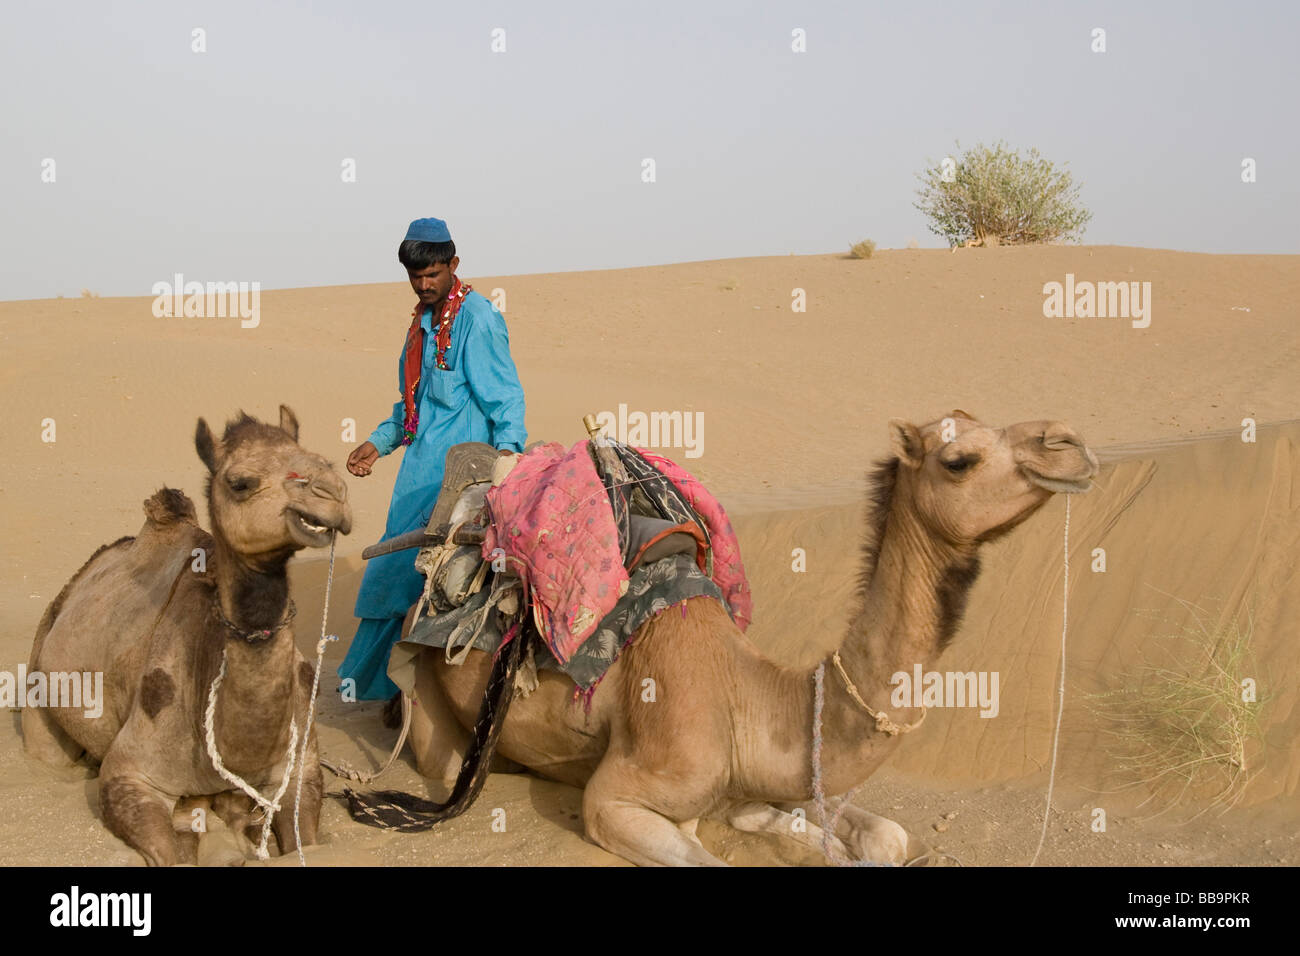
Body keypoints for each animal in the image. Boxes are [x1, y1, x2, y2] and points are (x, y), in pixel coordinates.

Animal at [25, 403, 351, 868]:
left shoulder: (302, 768)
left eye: (321, 459)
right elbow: (169, 848)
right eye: (240, 482)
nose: (331, 493)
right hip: (40, 674)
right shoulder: (130, 774)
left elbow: (305, 837)